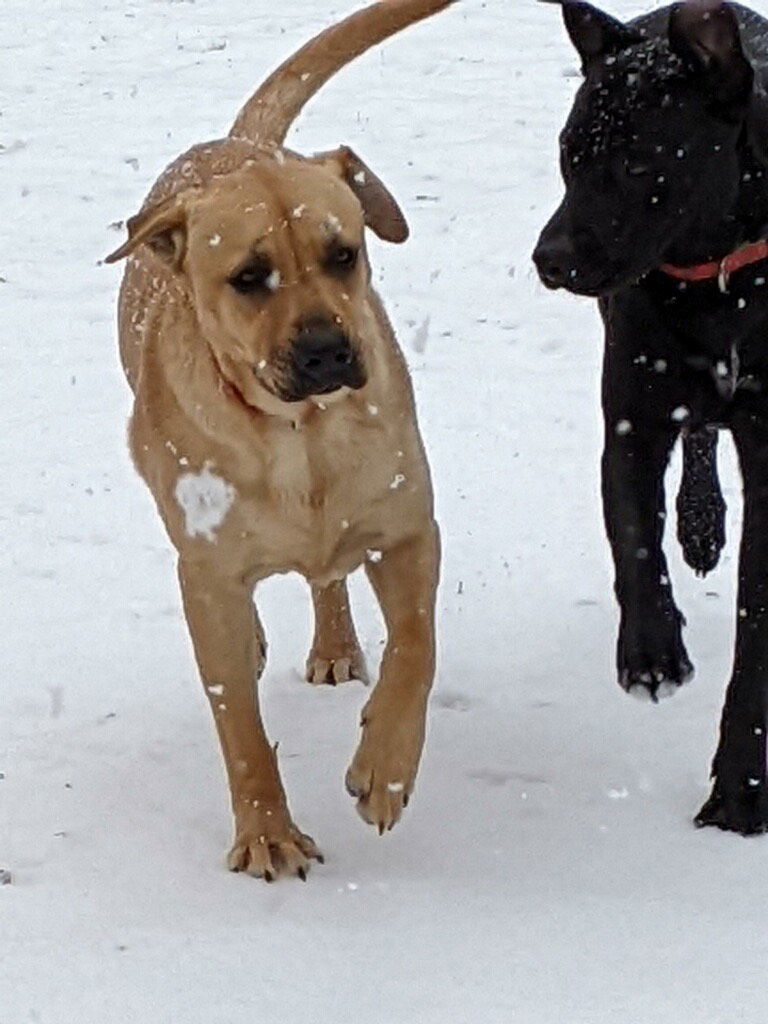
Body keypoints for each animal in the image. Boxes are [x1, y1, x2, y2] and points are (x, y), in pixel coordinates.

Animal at [105, 0, 448, 880]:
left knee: (331, 578)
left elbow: (417, 646)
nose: (327, 349)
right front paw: (267, 832)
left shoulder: (406, 526)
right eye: (248, 278)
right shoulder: (210, 575)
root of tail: (231, 143)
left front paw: (385, 770)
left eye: (344, 253)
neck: (302, 441)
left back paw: (336, 644)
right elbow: (239, 725)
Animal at [536, 0, 768, 831]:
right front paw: (651, 651)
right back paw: (700, 524)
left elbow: (756, 642)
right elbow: (633, 537)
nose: (549, 257)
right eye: (568, 153)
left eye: (640, 163)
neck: (720, 276)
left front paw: (739, 792)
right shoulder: (631, 418)